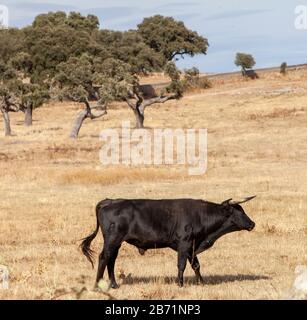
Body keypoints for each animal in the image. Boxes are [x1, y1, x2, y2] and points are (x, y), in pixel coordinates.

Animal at [80, 196, 256, 288]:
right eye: (239, 211)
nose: (252, 224)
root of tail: (110, 201)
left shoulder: (192, 246)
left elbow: (196, 265)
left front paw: (201, 282)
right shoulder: (184, 244)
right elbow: (182, 265)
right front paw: (180, 284)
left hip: (117, 242)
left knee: (111, 259)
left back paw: (114, 284)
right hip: (112, 239)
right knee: (104, 257)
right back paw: (97, 285)